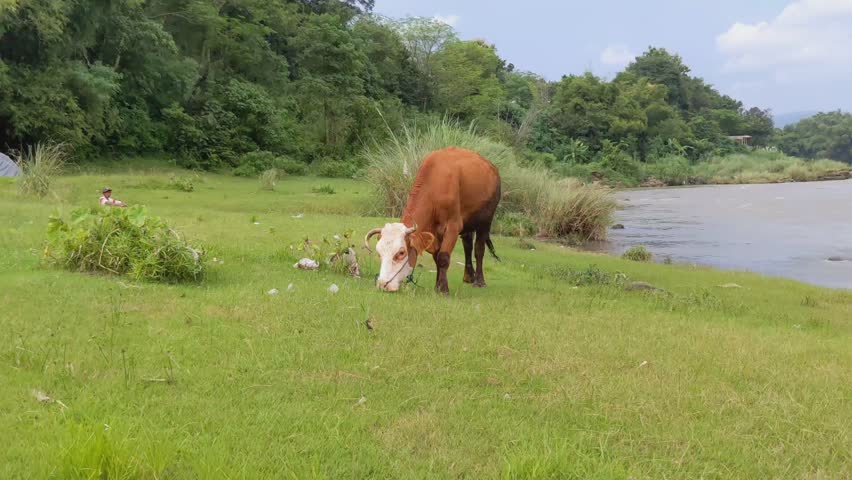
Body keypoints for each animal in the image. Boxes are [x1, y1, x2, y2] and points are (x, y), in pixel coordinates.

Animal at [364, 147, 501, 294]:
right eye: (379, 253)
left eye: (401, 253)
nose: (383, 284)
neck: (435, 186)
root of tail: (492, 167)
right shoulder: (435, 233)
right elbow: (436, 257)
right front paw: (437, 285)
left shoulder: (453, 226)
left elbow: (443, 257)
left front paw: (443, 289)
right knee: (468, 245)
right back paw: (468, 276)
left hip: (485, 221)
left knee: (479, 249)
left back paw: (479, 281)